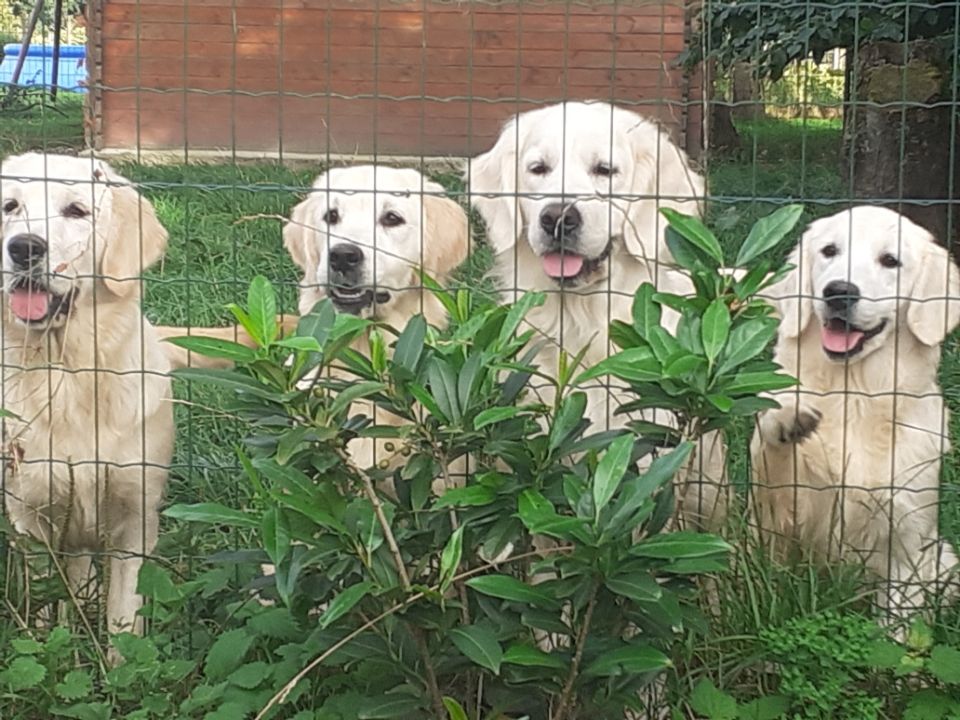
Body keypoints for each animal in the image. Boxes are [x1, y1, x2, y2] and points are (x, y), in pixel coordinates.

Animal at [0, 152, 172, 652]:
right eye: (10, 206)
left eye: (76, 211)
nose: (24, 247)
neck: (68, 374)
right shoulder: (30, 515)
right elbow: (45, 605)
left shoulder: (136, 514)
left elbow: (123, 616)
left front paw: (123, 665)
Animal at [752, 207, 956, 620]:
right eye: (829, 251)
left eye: (890, 260)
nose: (838, 291)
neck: (855, 397)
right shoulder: (777, 520)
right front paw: (785, 417)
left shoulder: (907, 542)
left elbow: (897, 624)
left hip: (944, 557)